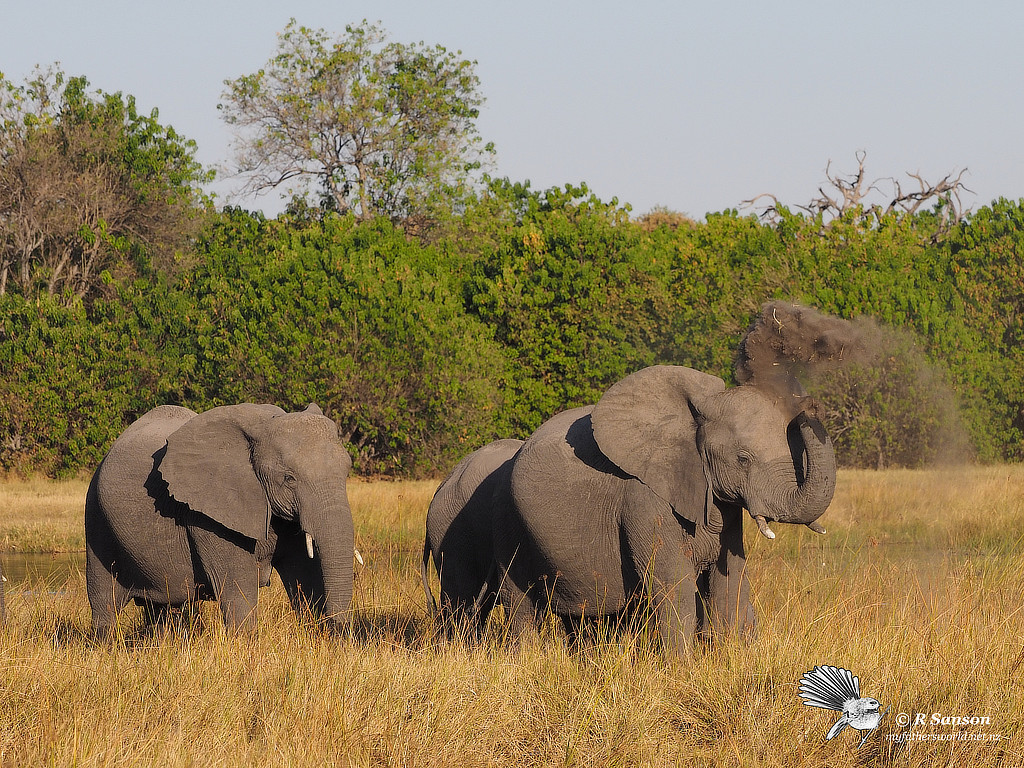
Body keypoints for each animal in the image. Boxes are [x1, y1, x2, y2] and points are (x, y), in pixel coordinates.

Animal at [84, 403, 356, 638]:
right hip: (96, 517)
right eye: (289, 478)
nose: (338, 629)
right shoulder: (207, 516)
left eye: (347, 470)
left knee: (162, 607)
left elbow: (304, 575)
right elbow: (238, 587)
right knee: (105, 601)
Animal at [491, 366, 835, 655]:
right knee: (520, 604)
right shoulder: (643, 499)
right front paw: (682, 669)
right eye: (743, 459)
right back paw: (522, 660)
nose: (810, 405)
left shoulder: (724, 507)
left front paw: (732, 659)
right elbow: (674, 585)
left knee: (583, 616)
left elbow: (730, 582)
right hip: (508, 519)